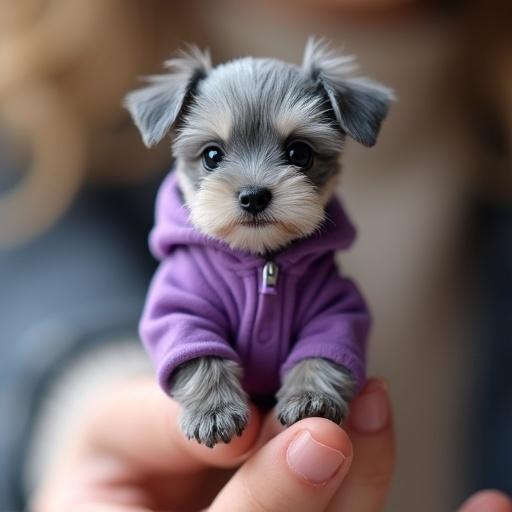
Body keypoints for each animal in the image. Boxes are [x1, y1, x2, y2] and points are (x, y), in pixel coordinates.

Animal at [125, 39, 392, 448]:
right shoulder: (181, 304)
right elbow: (197, 352)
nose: (253, 196)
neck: (263, 261)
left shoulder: (335, 307)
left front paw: (310, 396)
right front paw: (214, 410)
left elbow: (325, 348)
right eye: (212, 155)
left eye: (299, 153)